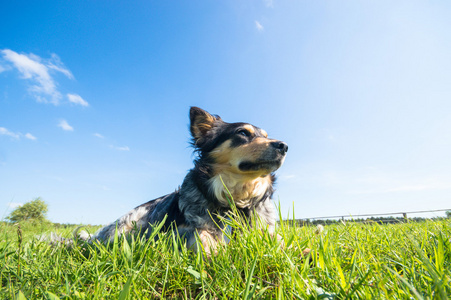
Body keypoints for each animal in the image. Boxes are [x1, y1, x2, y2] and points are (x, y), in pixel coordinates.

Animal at [76, 106, 288, 254]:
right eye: (243, 133)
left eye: (266, 136)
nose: (284, 146)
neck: (236, 199)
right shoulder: (179, 230)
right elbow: (201, 234)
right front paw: (215, 254)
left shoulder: (266, 228)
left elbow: (278, 239)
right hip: (126, 225)